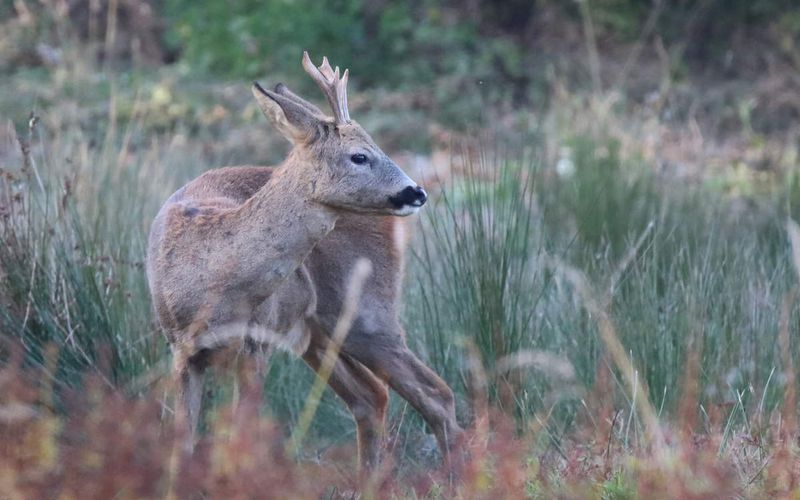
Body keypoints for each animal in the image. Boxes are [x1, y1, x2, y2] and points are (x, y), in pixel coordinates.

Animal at [147, 52, 462, 470]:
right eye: (359, 155)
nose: (416, 192)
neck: (211, 278)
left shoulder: (256, 342)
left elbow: (240, 439)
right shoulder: (181, 349)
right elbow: (181, 444)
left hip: (367, 313)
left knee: (435, 393)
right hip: (316, 332)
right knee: (372, 396)